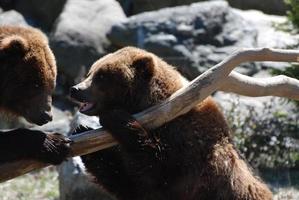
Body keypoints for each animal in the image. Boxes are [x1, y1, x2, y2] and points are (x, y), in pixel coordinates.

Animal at [71, 47, 274, 200]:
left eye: (102, 76)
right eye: (91, 71)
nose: (76, 89)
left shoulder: (190, 152)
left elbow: (157, 169)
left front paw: (114, 117)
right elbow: (126, 181)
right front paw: (81, 130)